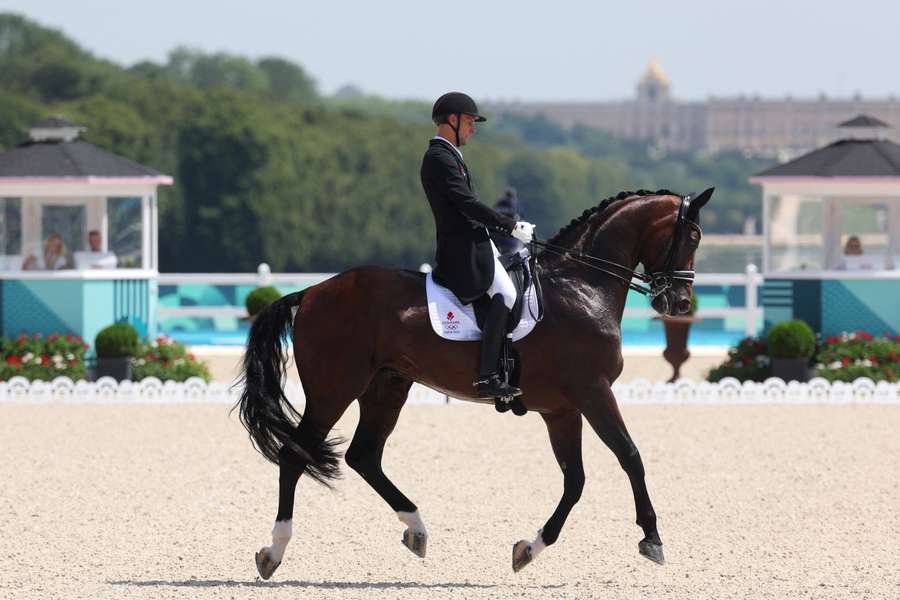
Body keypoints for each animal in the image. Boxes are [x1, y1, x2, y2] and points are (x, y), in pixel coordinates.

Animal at [236, 186, 712, 576]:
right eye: (691, 237)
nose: (680, 302)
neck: (580, 287)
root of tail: (312, 292)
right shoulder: (593, 392)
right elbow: (630, 456)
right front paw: (652, 538)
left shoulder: (562, 408)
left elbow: (574, 480)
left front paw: (529, 549)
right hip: (333, 389)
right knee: (295, 457)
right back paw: (273, 552)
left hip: (386, 387)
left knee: (364, 456)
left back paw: (416, 529)